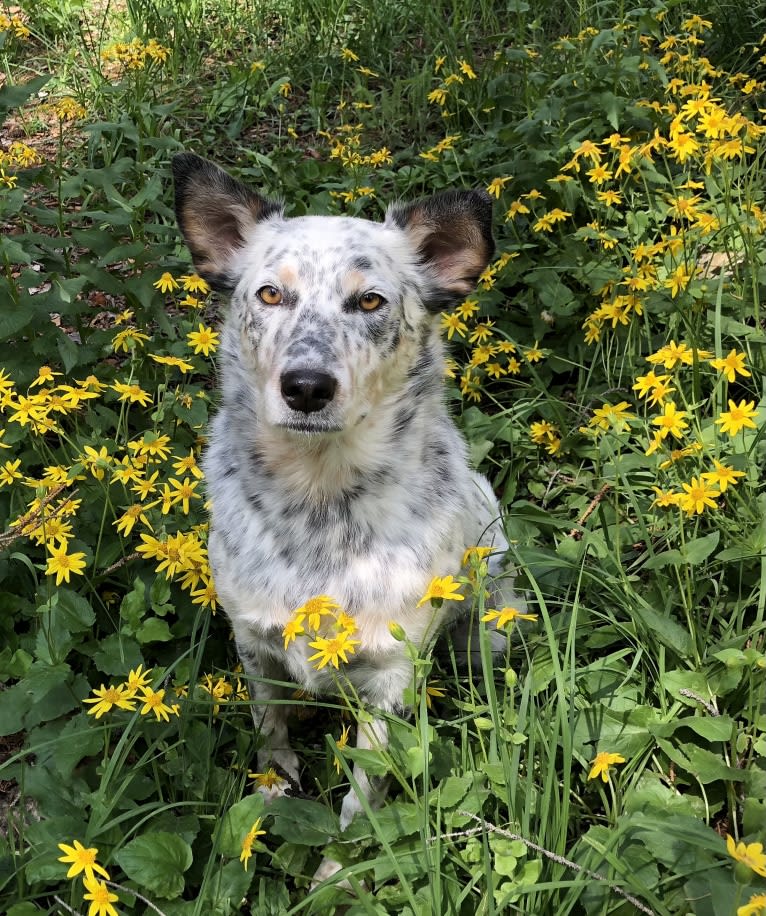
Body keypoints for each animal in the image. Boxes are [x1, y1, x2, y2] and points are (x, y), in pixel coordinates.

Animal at [171, 154, 524, 884]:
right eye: (269, 295)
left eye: (370, 302)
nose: (306, 387)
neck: (319, 505)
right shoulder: (253, 642)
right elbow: (269, 729)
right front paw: (273, 791)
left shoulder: (391, 677)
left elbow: (363, 797)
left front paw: (338, 873)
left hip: (488, 622)